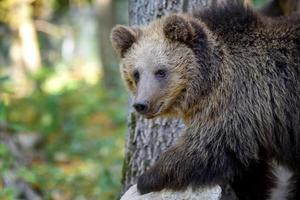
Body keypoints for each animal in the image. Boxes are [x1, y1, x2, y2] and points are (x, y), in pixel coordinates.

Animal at [110, 2, 300, 200]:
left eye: (161, 71)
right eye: (136, 74)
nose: (141, 104)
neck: (206, 83)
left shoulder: (237, 101)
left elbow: (205, 150)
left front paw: (147, 178)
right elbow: (251, 172)